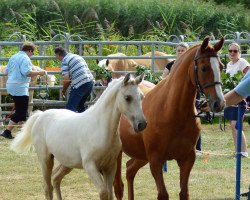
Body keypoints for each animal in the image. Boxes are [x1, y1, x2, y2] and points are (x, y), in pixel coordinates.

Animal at [113, 37, 225, 198]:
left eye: (221, 67)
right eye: (204, 68)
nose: (219, 103)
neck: (172, 111)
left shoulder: (187, 159)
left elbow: (184, 193)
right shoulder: (155, 160)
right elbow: (163, 194)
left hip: (141, 155)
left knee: (129, 170)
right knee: (118, 186)